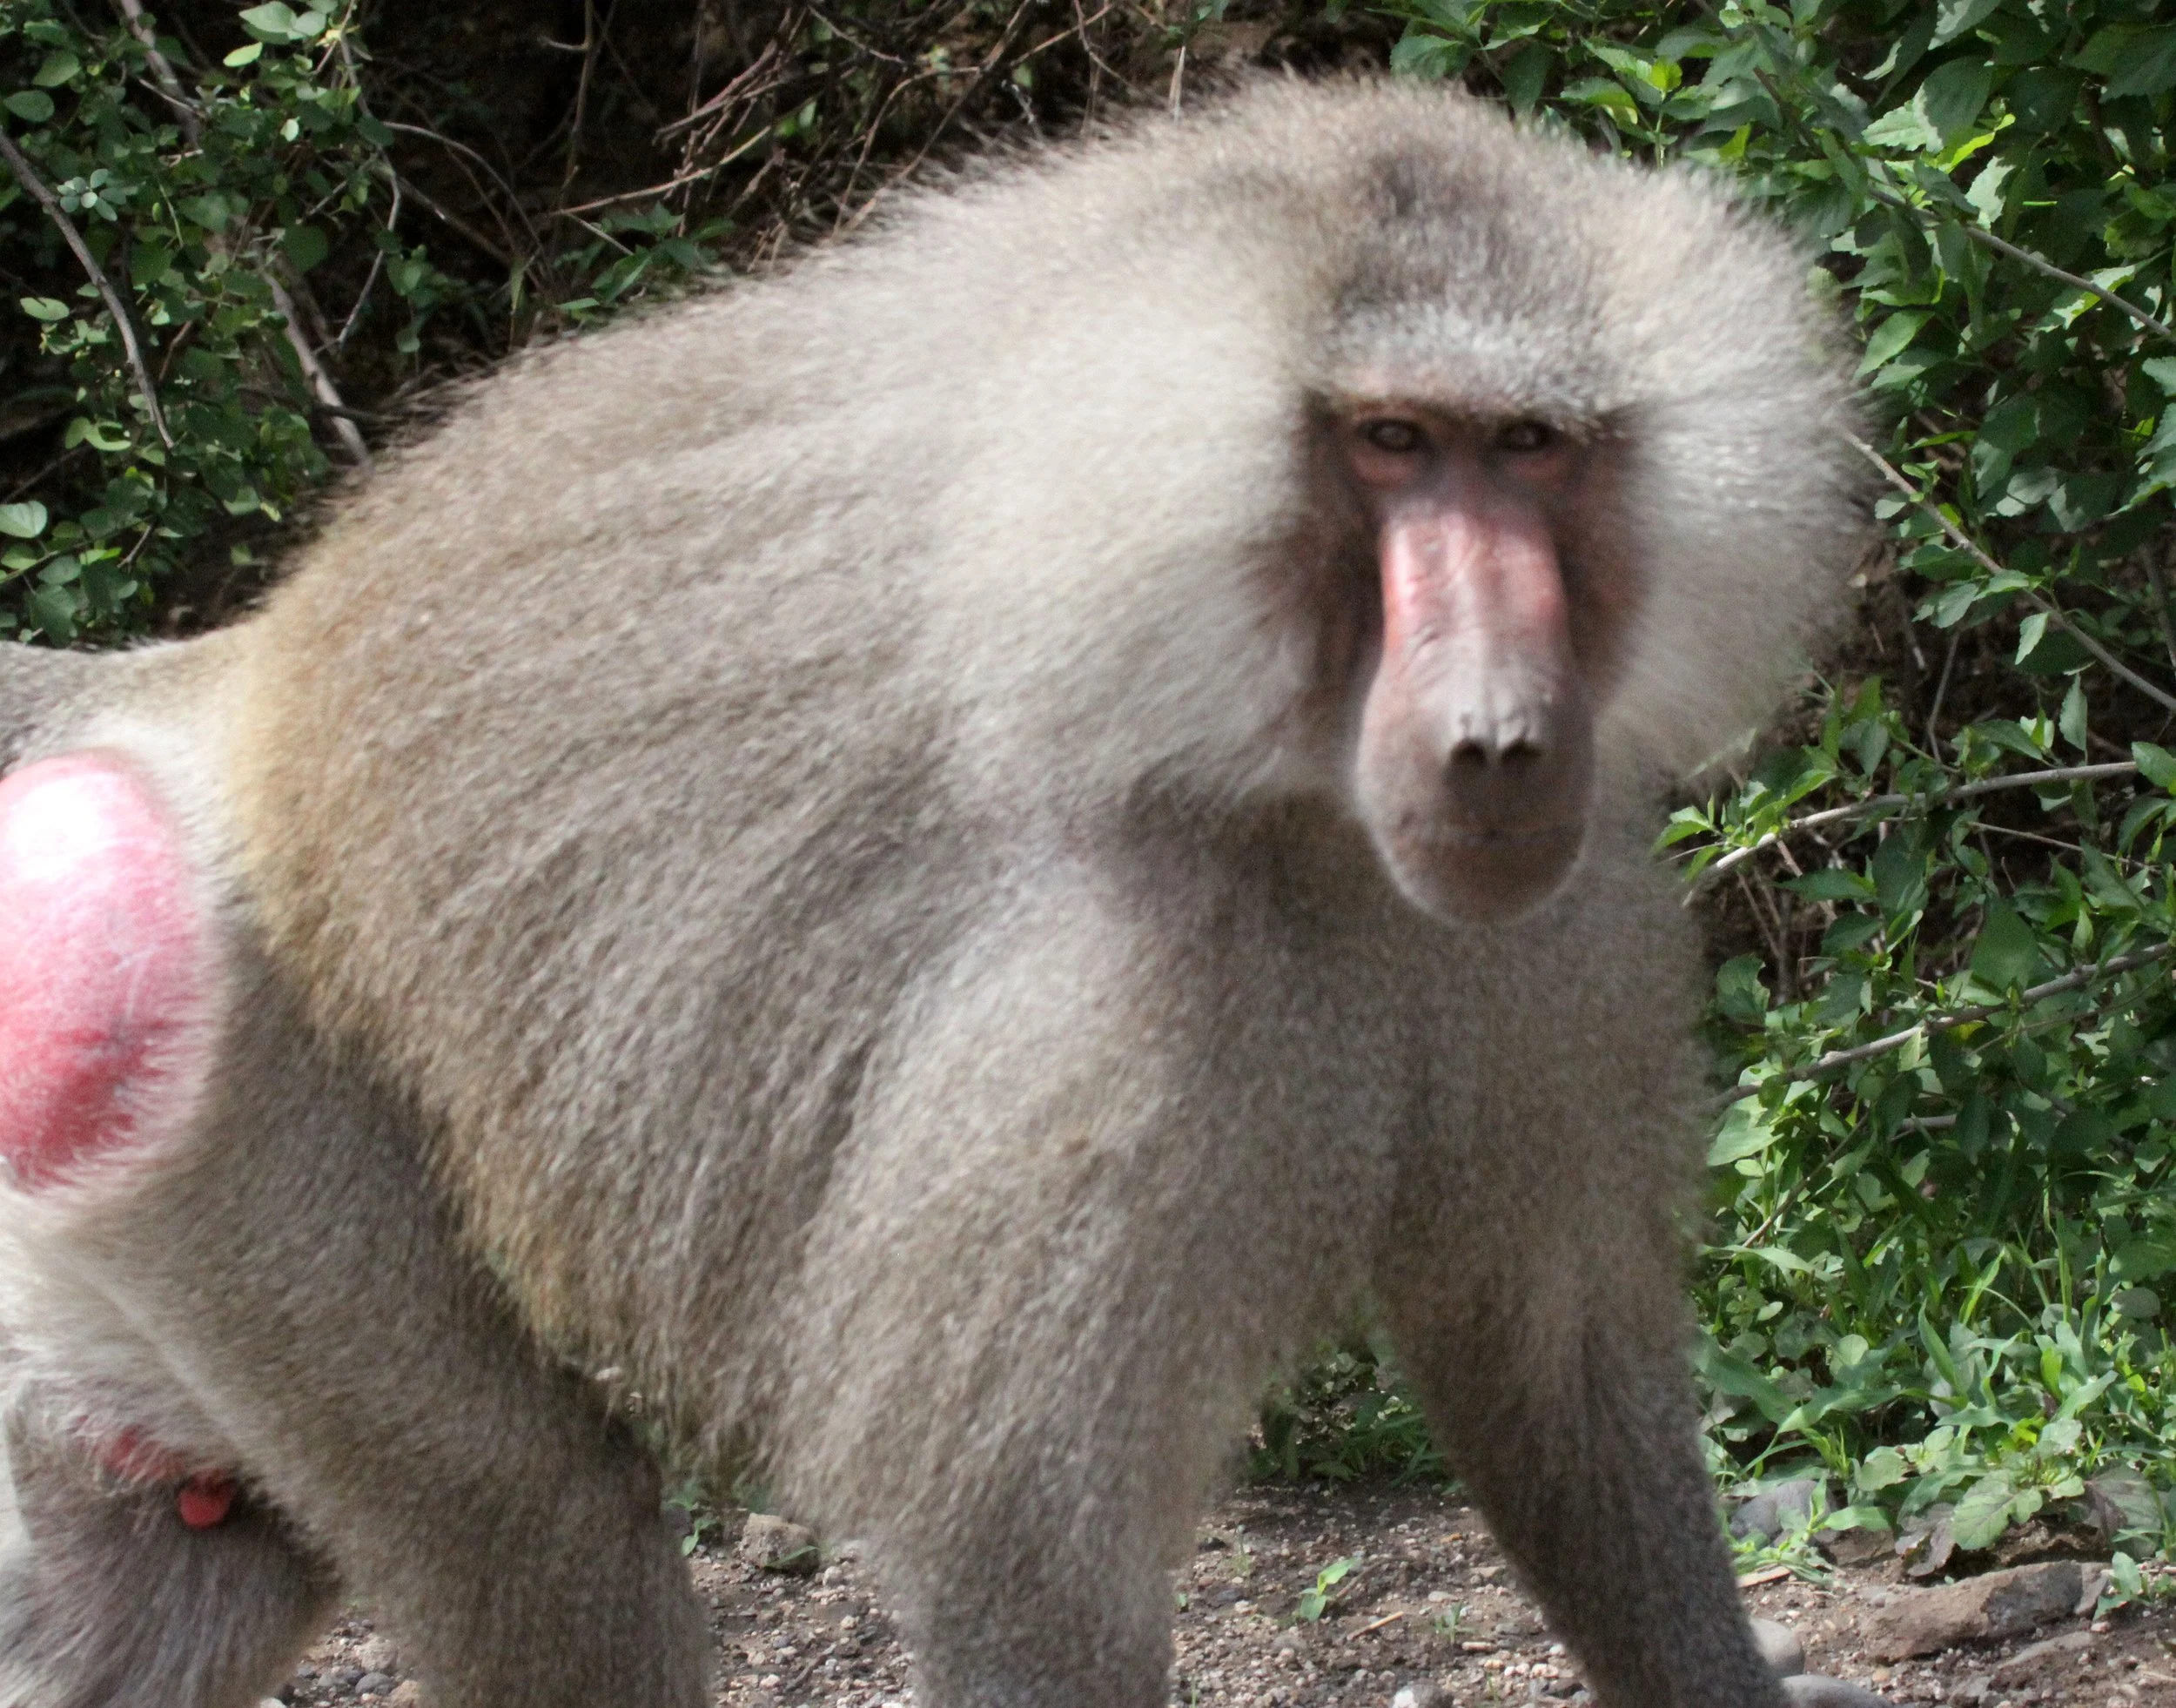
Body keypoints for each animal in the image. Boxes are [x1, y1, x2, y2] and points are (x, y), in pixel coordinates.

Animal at [0, 78, 1869, 1708]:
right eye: (1394, 442)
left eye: (1534, 446)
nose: (1497, 739)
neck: (1296, 797)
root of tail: (173, 694)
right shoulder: (1092, 1014)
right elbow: (1022, 1566)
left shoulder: (1567, 918)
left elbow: (1558, 1372)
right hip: (220, 1086)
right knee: (529, 1521)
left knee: (193, 1575)